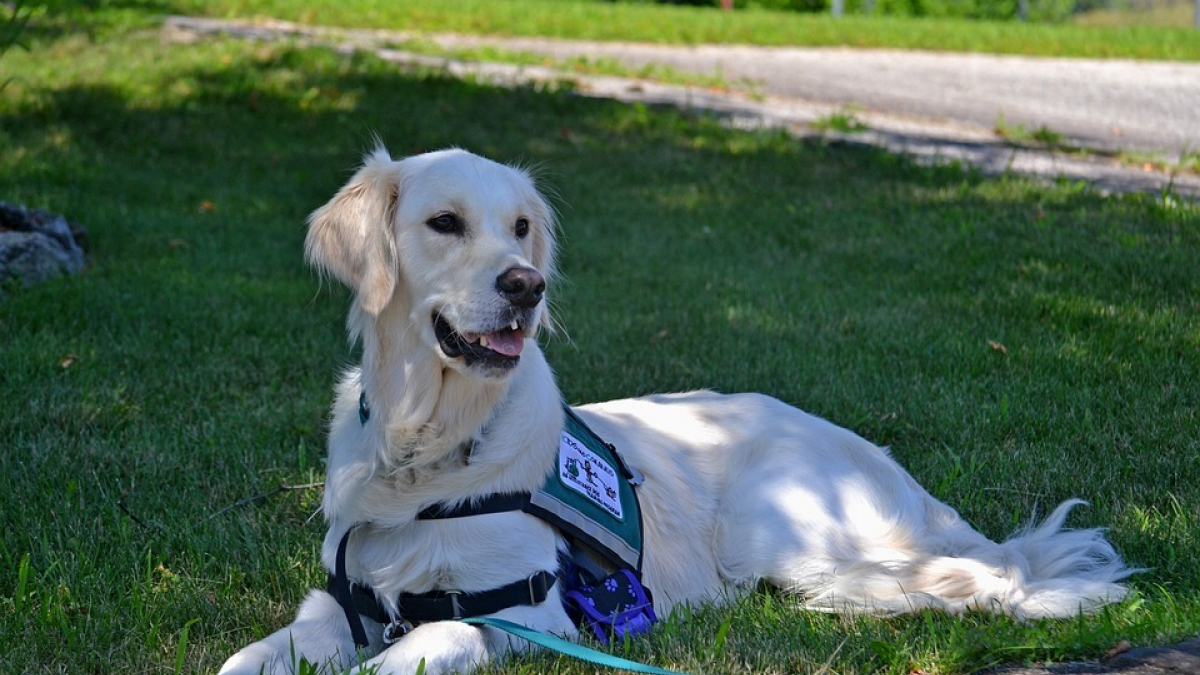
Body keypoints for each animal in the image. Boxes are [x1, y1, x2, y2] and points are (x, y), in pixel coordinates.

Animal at [218, 145, 1132, 672]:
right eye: (444, 222)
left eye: (520, 227)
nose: (527, 285)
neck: (428, 447)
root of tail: (892, 467)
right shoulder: (342, 600)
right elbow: (247, 657)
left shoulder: (525, 609)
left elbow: (414, 650)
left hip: (779, 524)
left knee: (972, 578)